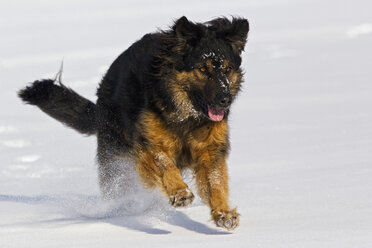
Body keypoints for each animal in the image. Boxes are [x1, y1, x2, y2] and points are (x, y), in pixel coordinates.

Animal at [18, 16, 250, 231]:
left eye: (227, 69)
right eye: (202, 69)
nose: (225, 99)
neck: (186, 116)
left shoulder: (210, 150)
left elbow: (215, 182)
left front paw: (224, 212)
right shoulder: (147, 145)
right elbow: (165, 164)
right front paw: (179, 191)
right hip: (116, 161)